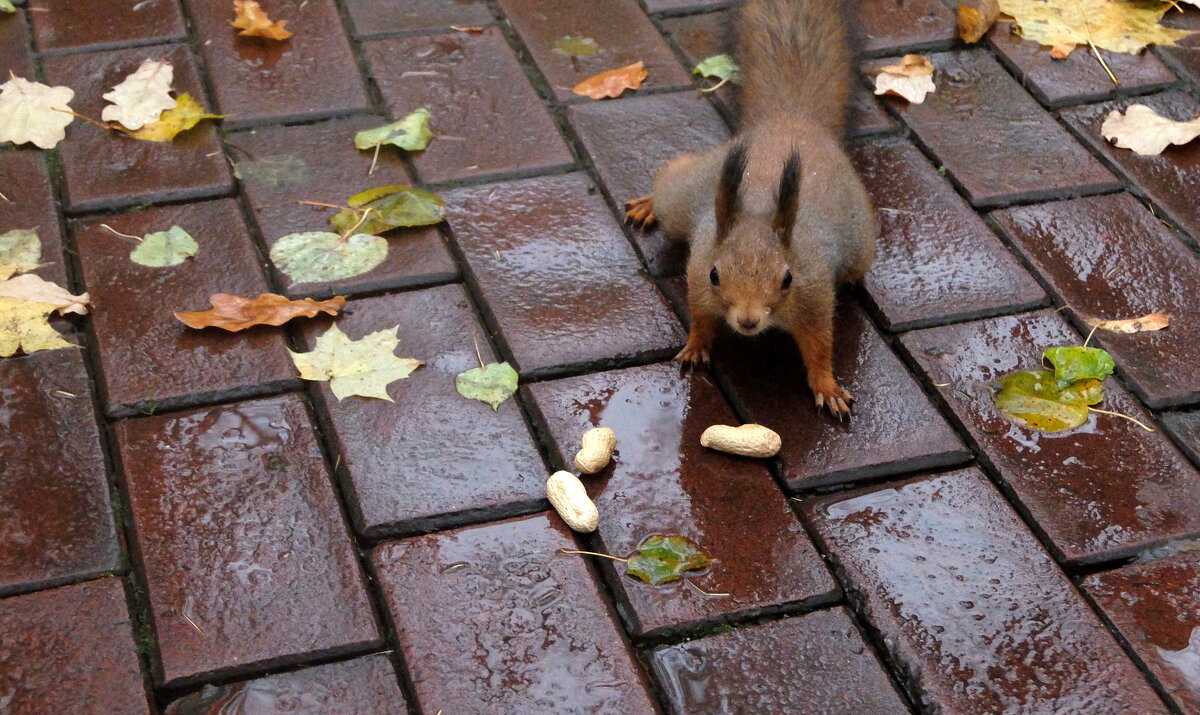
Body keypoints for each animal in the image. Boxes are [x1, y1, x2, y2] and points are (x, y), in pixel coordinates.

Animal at [628, 0, 873, 415]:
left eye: (787, 278)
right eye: (715, 274)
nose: (747, 320)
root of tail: (791, 120)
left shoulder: (814, 296)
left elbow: (820, 346)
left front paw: (828, 386)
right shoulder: (698, 280)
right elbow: (699, 317)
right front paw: (695, 346)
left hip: (860, 243)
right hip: (688, 196)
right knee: (675, 178)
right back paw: (648, 204)